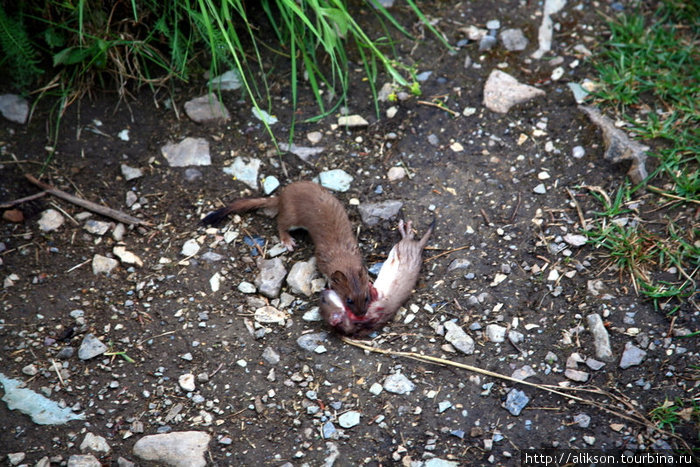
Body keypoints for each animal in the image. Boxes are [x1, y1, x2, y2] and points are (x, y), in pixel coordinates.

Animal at [204, 181, 378, 316]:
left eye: (366, 297)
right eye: (349, 300)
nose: (361, 314)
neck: (342, 252)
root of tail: (283, 195)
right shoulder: (321, 255)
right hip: (291, 216)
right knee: (280, 223)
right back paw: (287, 241)